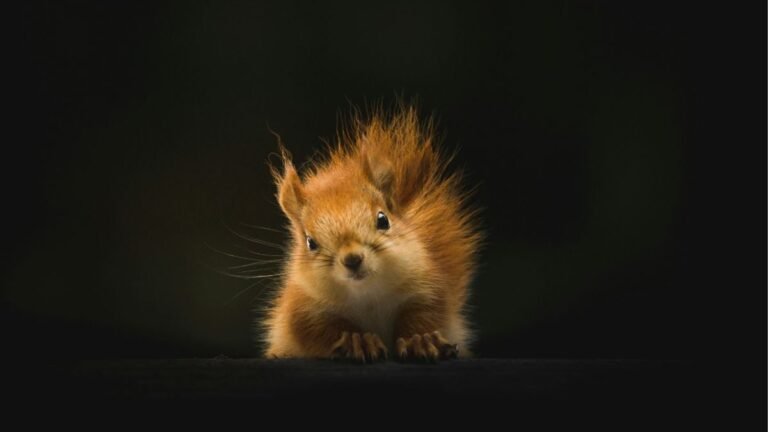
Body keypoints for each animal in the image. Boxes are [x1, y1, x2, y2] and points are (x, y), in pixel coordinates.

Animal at [261, 105, 482, 362]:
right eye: (310, 242)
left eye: (383, 220)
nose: (352, 259)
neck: (367, 294)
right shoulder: (302, 308)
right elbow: (319, 330)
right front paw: (357, 340)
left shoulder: (427, 287)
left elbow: (425, 315)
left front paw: (420, 340)